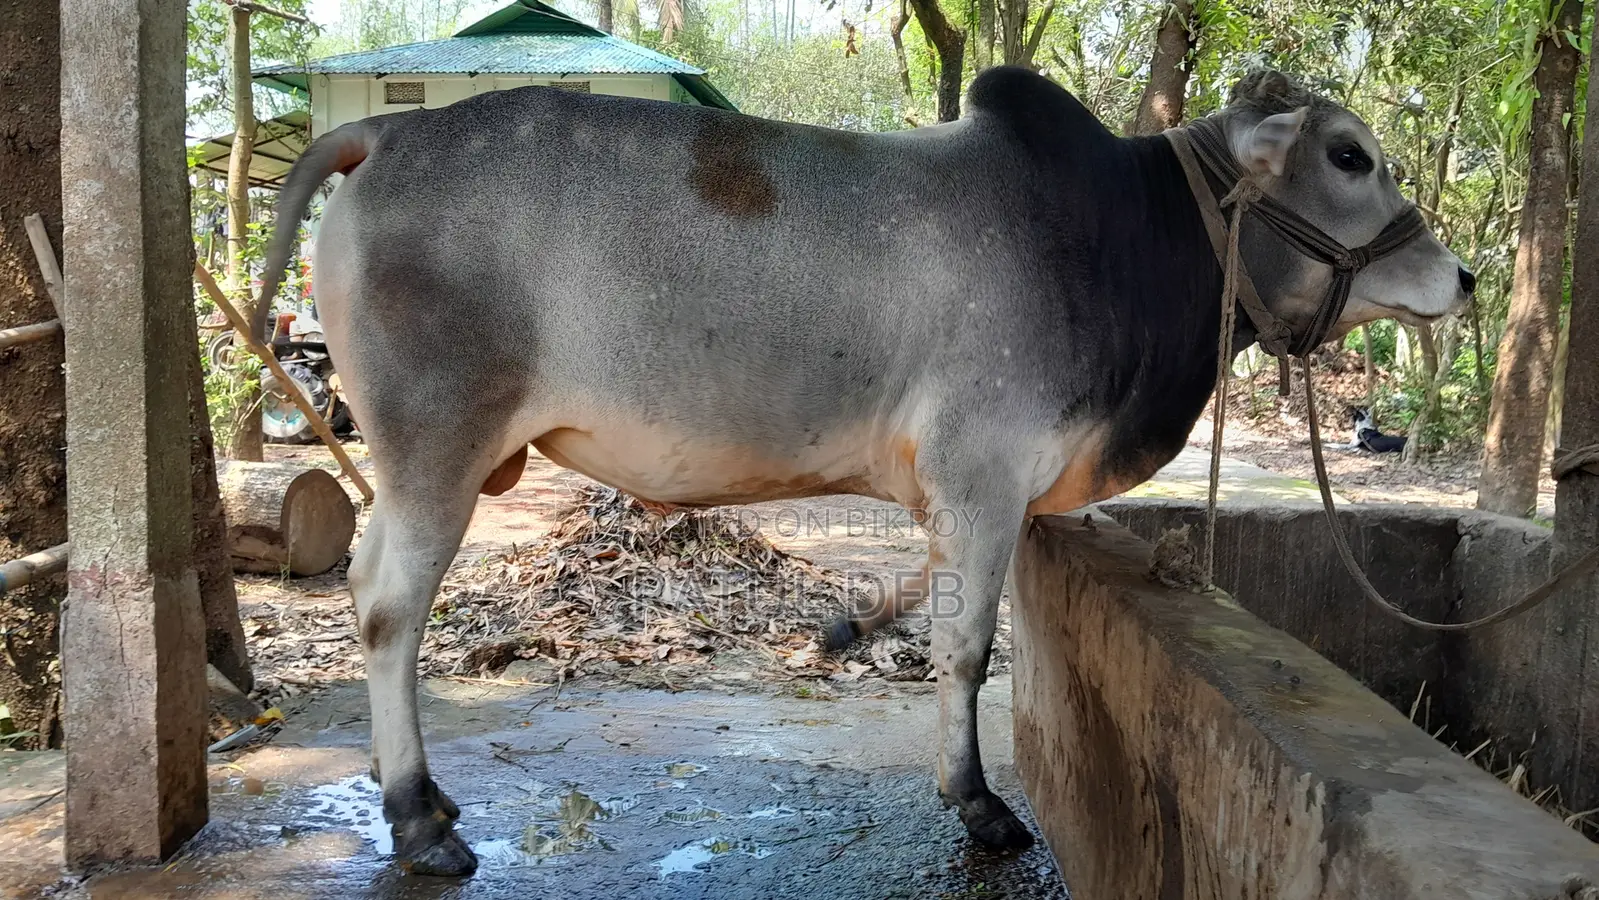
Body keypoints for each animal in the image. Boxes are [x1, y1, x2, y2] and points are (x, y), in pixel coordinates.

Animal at [256, 66, 1472, 875]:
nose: (1459, 277)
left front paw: (849, 638)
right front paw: (976, 803)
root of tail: (384, 132)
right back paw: (416, 819)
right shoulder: (984, 477)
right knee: (389, 610)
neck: (1121, 237)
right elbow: (966, 649)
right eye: (1350, 155)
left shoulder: (974, 494)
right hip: (437, 450)